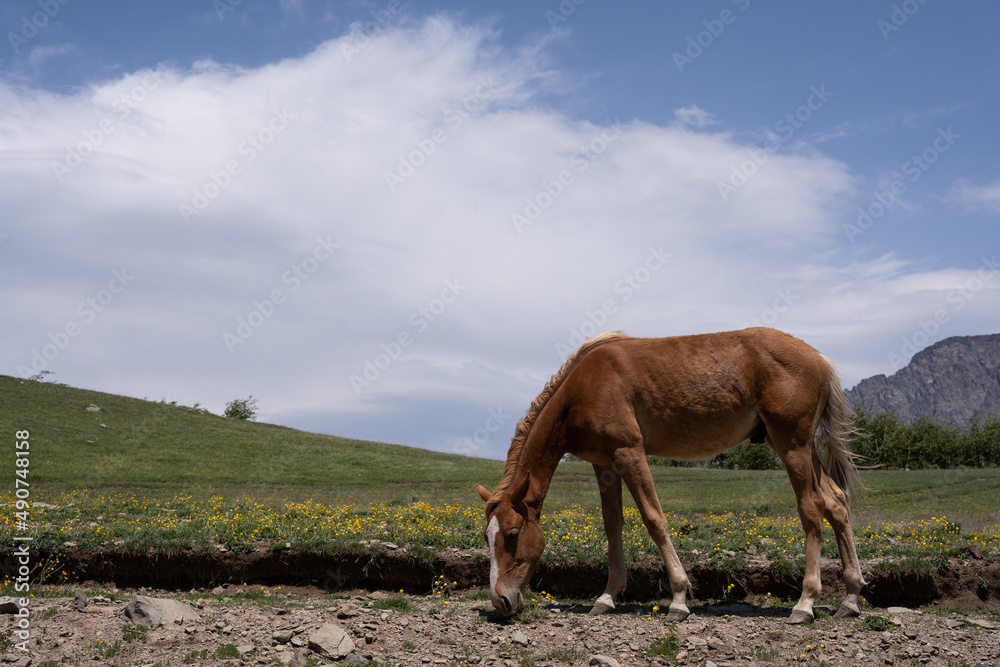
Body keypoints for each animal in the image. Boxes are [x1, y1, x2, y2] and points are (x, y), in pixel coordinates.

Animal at [476, 327, 865, 624]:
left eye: (512, 534)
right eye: (486, 537)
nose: (501, 601)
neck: (583, 388)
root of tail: (819, 358)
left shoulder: (629, 453)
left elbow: (654, 519)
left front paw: (678, 599)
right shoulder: (605, 465)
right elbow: (612, 524)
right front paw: (607, 596)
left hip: (792, 446)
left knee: (812, 509)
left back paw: (805, 603)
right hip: (796, 446)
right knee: (836, 503)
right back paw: (850, 598)